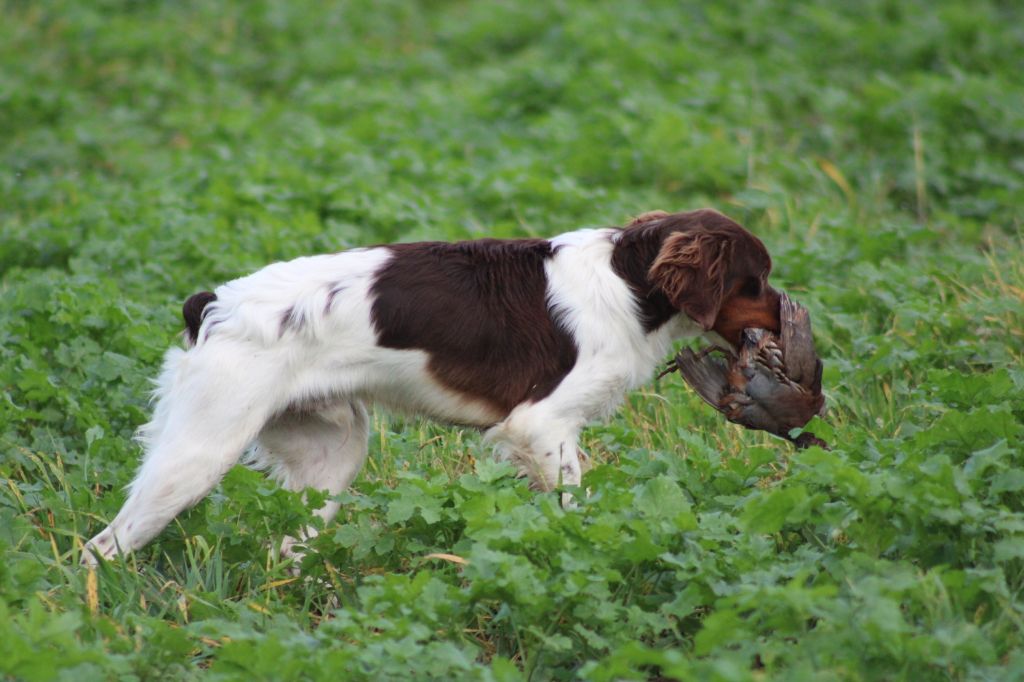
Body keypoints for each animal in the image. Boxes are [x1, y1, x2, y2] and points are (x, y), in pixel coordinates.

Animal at [81, 206, 782, 561]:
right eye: (755, 281)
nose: (790, 318)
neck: (631, 282)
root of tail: (214, 305)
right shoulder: (541, 424)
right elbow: (576, 507)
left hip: (332, 452)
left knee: (289, 544)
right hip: (198, 454)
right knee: (103, 545)